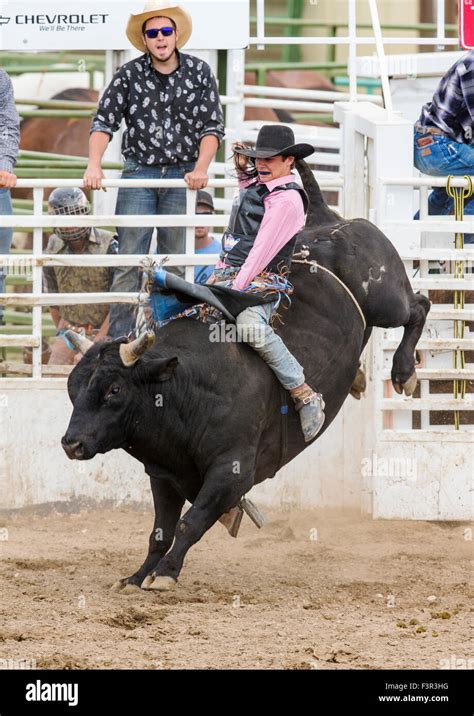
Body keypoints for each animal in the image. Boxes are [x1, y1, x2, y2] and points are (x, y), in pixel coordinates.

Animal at [60, 162, 430, 592]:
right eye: (72, 392)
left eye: (114, 389)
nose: (71, 443)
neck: (187, 389)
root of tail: (326, 219)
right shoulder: (164, 474)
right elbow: (160, 532)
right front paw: (137, 576)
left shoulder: (231, 473)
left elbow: (190, 524)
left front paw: (166, 574)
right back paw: (357, 379)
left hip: (387, 298)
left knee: (419, 306)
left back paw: (403, 372)